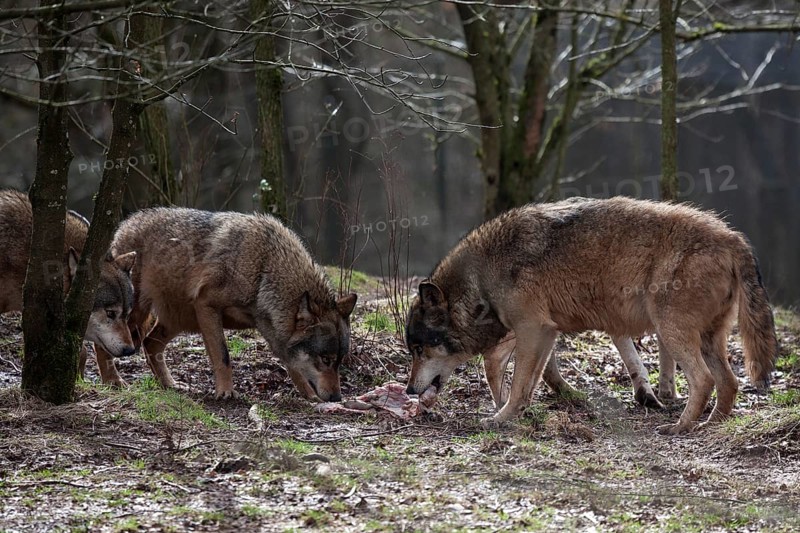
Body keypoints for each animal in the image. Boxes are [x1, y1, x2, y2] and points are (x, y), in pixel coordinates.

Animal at [104, 208, 357, 401]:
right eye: (325, 360)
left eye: (339, 362)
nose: (337, 397)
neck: (263, 270)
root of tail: (125, 223)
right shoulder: (206, 305)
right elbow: (223, 356)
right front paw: (225, 392)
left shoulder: (271, 332)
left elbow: (293, 366)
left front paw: (309, 396)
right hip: (133, 314)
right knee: (106, 342)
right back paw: (112, 381)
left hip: (177, 321)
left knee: (151, 344)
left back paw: (170, 385)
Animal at [405, 197, 777, 434]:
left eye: (420, 349)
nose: (408, 390)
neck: (482, 277)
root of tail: (732, 237)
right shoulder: (544, 332)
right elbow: (519, 378)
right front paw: (514, 415)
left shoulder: (532, 329)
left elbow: (518, 381)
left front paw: (500, 418)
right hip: (708, 339)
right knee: (729, 383)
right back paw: (711, 426)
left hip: (671, 331)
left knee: (705, 380)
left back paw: (680, 427)